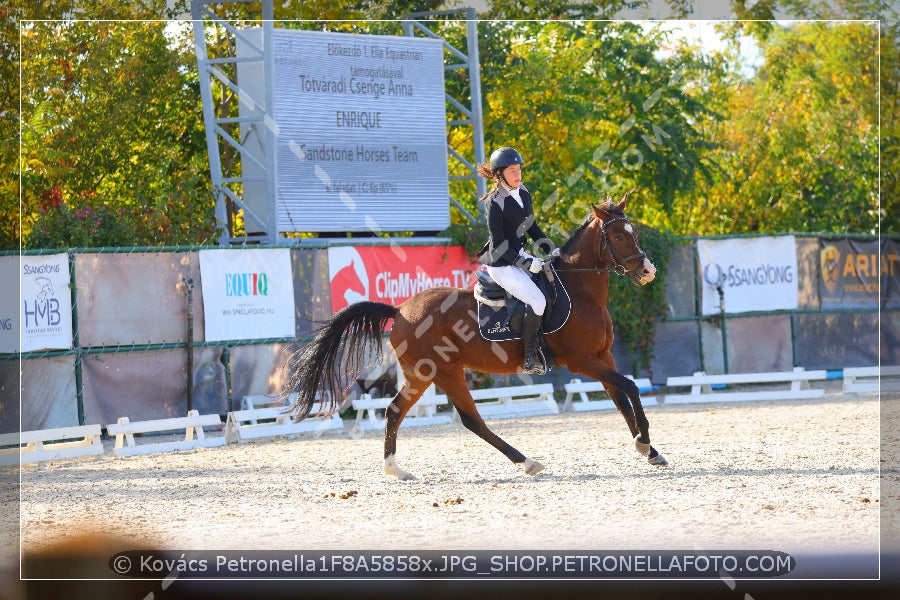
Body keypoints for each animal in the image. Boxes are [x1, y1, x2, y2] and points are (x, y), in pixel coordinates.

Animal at [288, 197, 668, 478]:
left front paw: (649, 450)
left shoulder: (603, 357)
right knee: (471, 419)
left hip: (419, 374)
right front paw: (644, 442)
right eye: (617, 237)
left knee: (395, 411)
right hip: (446, 371)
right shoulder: (582, 361)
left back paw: (395, 470)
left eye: (633, 232)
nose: (648, 271)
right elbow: (631, 387)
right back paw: (527, 462)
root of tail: (399, 310)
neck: (581, 290)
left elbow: (621, 397)